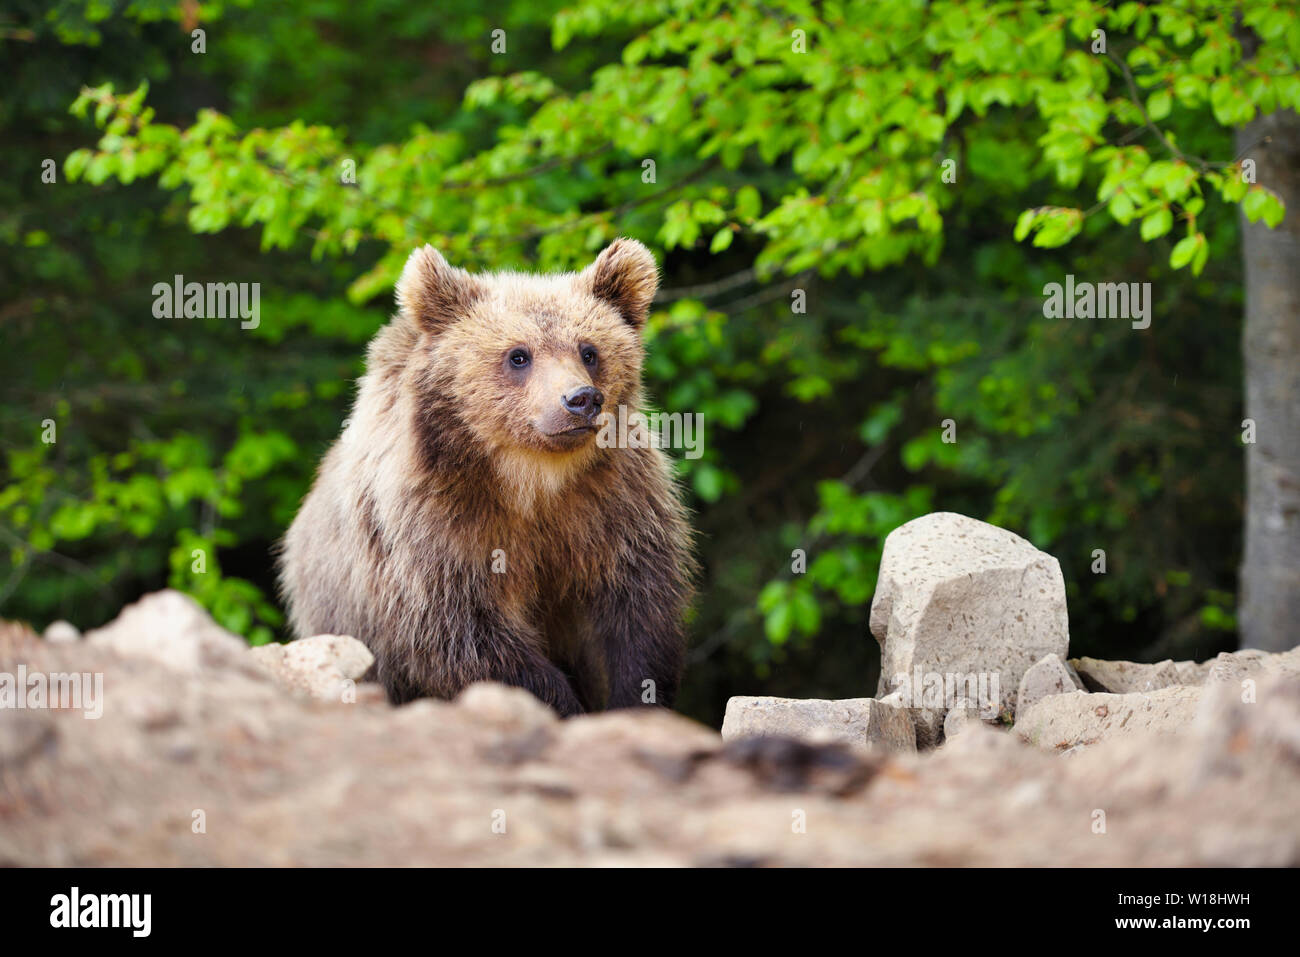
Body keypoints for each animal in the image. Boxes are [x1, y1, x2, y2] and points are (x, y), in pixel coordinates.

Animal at [278, 238, 694, 716]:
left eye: (589, 351)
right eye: (519, 355)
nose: (581, 399)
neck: (531, 480)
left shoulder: (614, 505)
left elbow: (638, 612)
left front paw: (633, 698)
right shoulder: (434, 525)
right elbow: (466, 631)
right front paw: (561, 703)